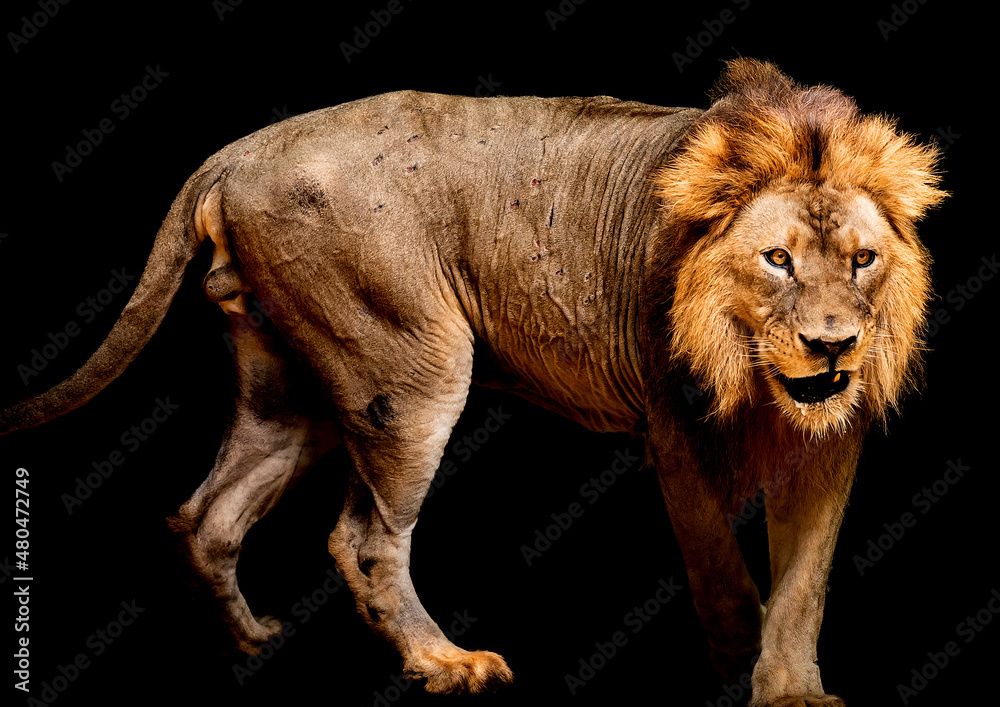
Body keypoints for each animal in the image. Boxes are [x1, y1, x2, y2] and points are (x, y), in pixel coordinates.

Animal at [0, 59, 943, 705]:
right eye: (777, 259)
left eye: (864, 259)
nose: (832, 345)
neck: (754, 372)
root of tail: (239, 149)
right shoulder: (673, 429)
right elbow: (723, 569)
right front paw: (736, 660)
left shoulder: (831, 445)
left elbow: (805, 581)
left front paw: (789, 689)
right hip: (410, 367)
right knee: (362, 537)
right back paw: (445, 663)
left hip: (292, 392)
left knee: (209, 514)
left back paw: (250, 643)